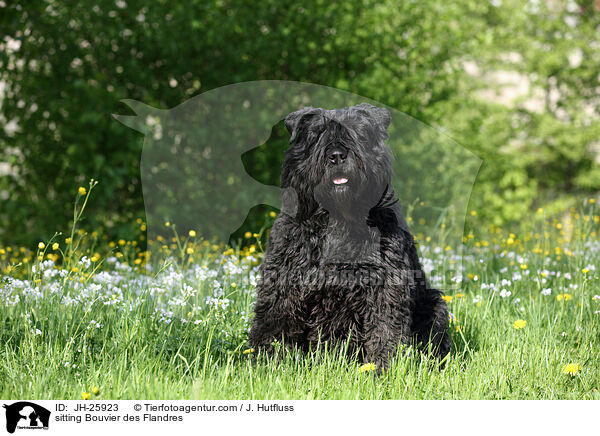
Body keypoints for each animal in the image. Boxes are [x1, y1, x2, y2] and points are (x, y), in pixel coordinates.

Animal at [248, 104, 450, 370]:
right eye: (317, 134)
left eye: (358, 133)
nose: (336, 156)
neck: (339, 218)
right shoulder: (284, 276)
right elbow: (274, 322)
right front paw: (265, 362)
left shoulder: (385, 284)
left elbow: (385, 328)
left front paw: (382, 368)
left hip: (433, 305)